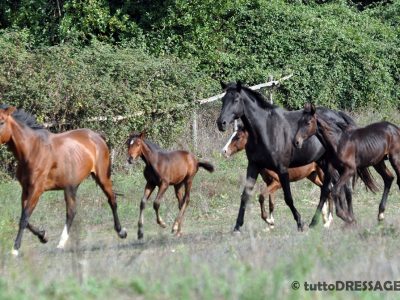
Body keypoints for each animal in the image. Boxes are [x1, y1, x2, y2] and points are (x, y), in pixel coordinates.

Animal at [0, 105, 126, 255]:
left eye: (1, 121)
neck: (32, 150)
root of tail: (97, 137)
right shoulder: (26, 189)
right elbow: (24, 217)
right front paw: (43, 236)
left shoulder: (36, 189)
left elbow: (24, 218)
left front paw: (15, 249)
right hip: (71, 186)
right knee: (71, 211)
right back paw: (61, 244)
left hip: (102, 177)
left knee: (112, 199)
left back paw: (121, 232)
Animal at [216, 81, 360, 231]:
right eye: (223, 99)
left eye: (236, 99)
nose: (221, 123)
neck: (266, 130)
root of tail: (338, 115)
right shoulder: (253, 166)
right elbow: (245, 195)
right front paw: (237, 227)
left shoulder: (282, 169)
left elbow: (288, 198)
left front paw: (299, 222)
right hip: (323, 164)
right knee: (329, 188)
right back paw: (329, 220)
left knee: (341, 188)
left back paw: (341, 219)